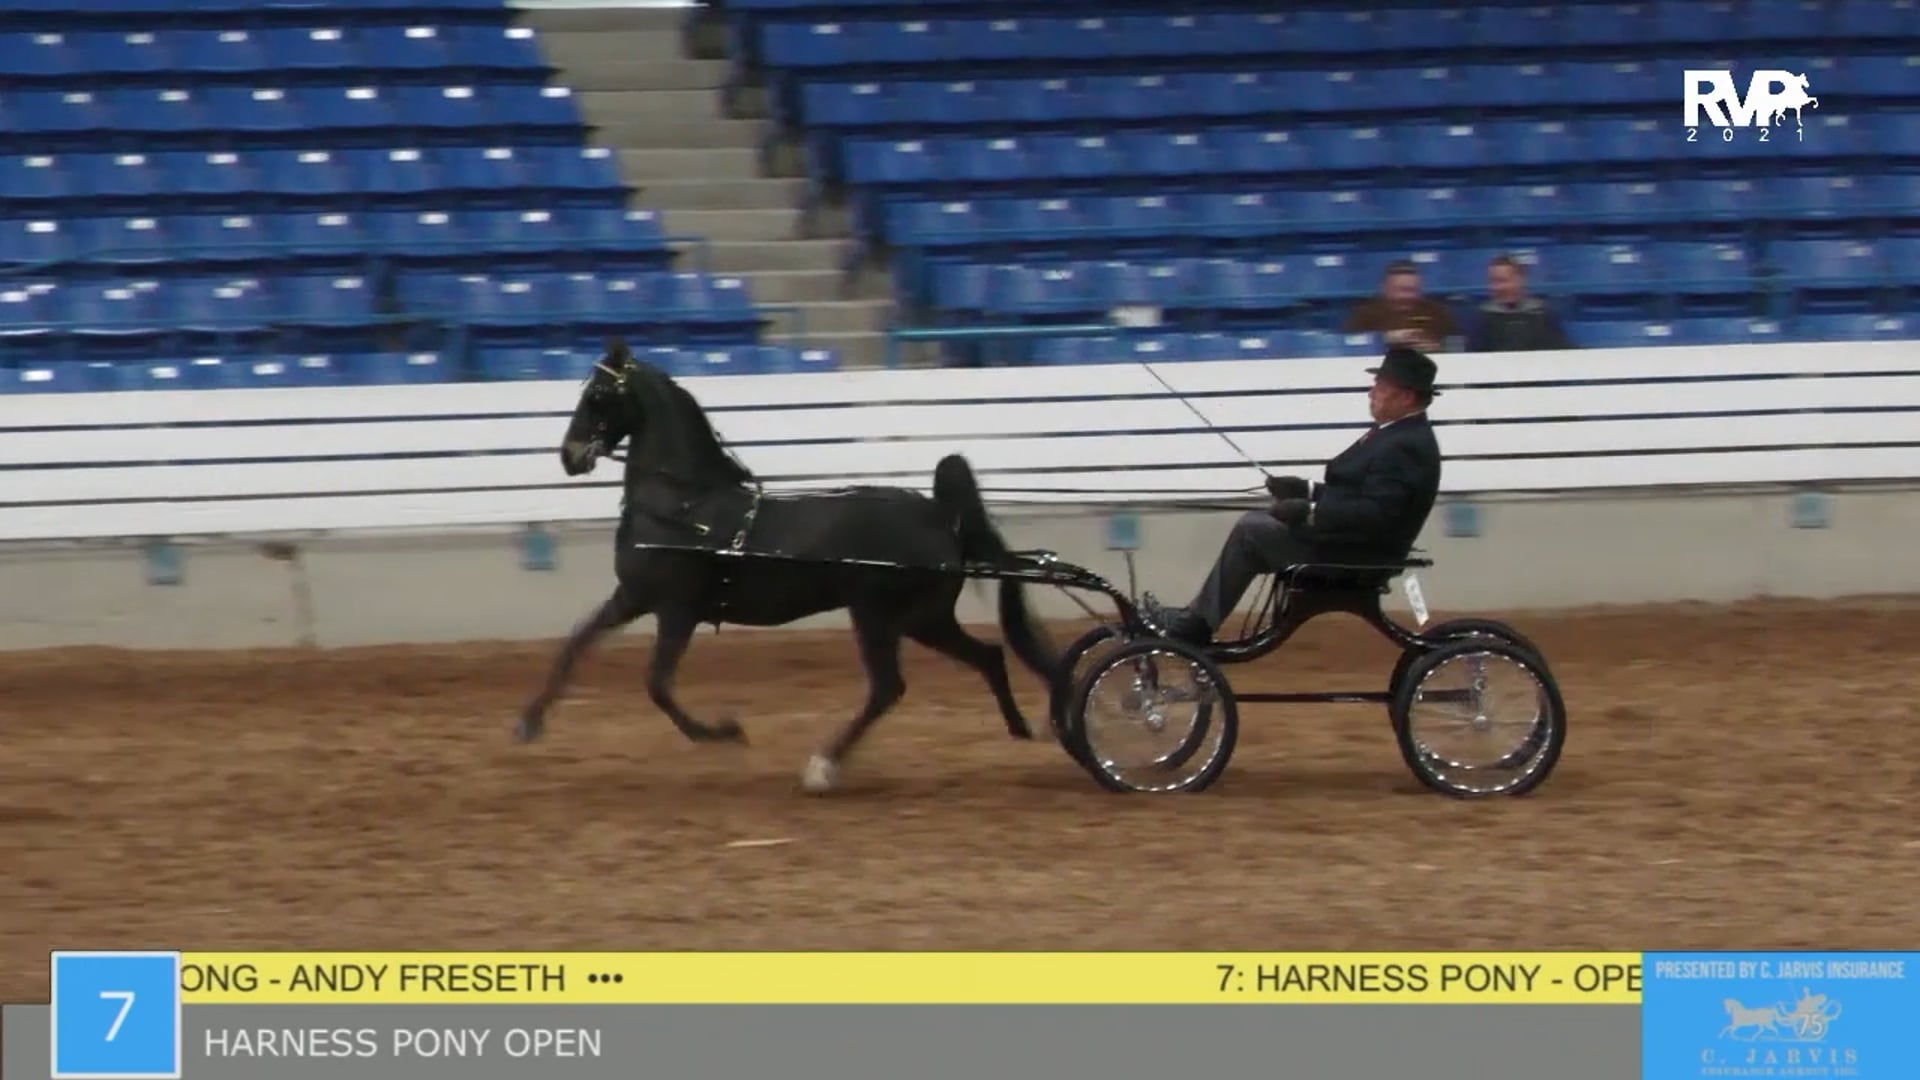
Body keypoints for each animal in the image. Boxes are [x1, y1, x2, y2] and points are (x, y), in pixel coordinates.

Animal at [512, 339, 1061, 793]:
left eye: (598, 395)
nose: (569, 456)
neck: (685, 507)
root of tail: (937, 514)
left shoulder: (677, 610)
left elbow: (658, 685)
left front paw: (724, 732)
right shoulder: (633, 596)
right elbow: (577, 643)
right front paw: (529, 723)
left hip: (880, 614)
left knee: (889, 687)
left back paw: (824, 766)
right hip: (923, 618)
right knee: (988, 656)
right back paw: (1026, 728)